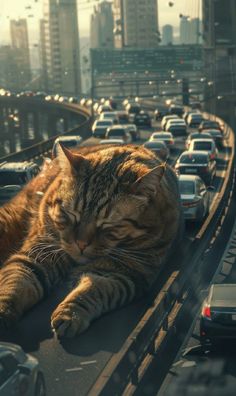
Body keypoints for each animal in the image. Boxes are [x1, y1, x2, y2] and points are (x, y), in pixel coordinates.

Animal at [0, 145, 183, 338]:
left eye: (107, 224)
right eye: (72, 214)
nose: (81, 243)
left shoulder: (121, 271)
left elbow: (93, 290)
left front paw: (71, 313)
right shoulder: (38, 254)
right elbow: (16, 281)